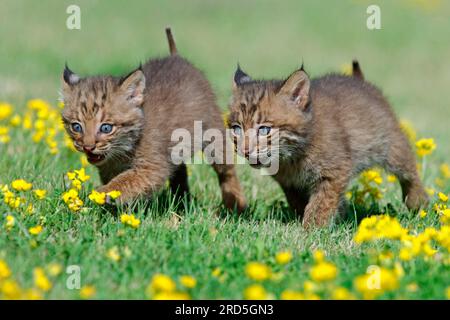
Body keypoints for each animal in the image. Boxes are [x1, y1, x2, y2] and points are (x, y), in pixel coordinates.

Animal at [59, 28, 246, 211]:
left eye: (106, 128)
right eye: (76, 127)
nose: (87, 147)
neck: (121, 151)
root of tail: (175, 57)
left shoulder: (152, 168)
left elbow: (126, 180)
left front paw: (104, 193)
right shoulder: (107, 168)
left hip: (213, 133)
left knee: (226, 169)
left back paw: (235, 205)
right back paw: (181, 201)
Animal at [229, 64, 428, 225]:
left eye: (264, 130)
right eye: (236, 129)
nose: (245, 150)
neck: (290, 156)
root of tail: (358, 80)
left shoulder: (334, 172)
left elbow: (321, 203)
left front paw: (310, 230)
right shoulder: (289, 183)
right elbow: (299, 201)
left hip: (391, 144)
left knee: (409, 170)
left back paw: (418, 202)